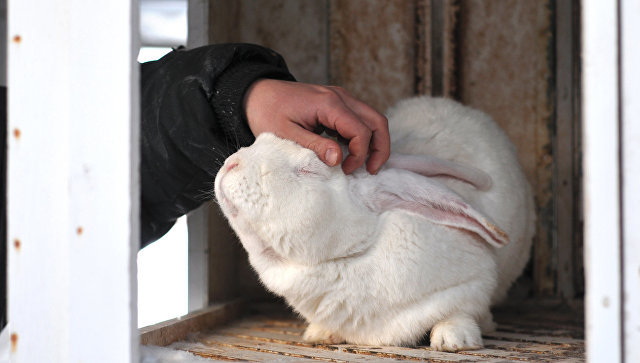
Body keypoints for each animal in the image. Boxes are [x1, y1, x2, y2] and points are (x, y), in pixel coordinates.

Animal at [215, 95, 536, 352]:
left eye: (308, 170)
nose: (232, 164)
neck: (352, 255)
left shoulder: (474, 285)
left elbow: (461, 311)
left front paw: (454, 340)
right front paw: (320, 334)